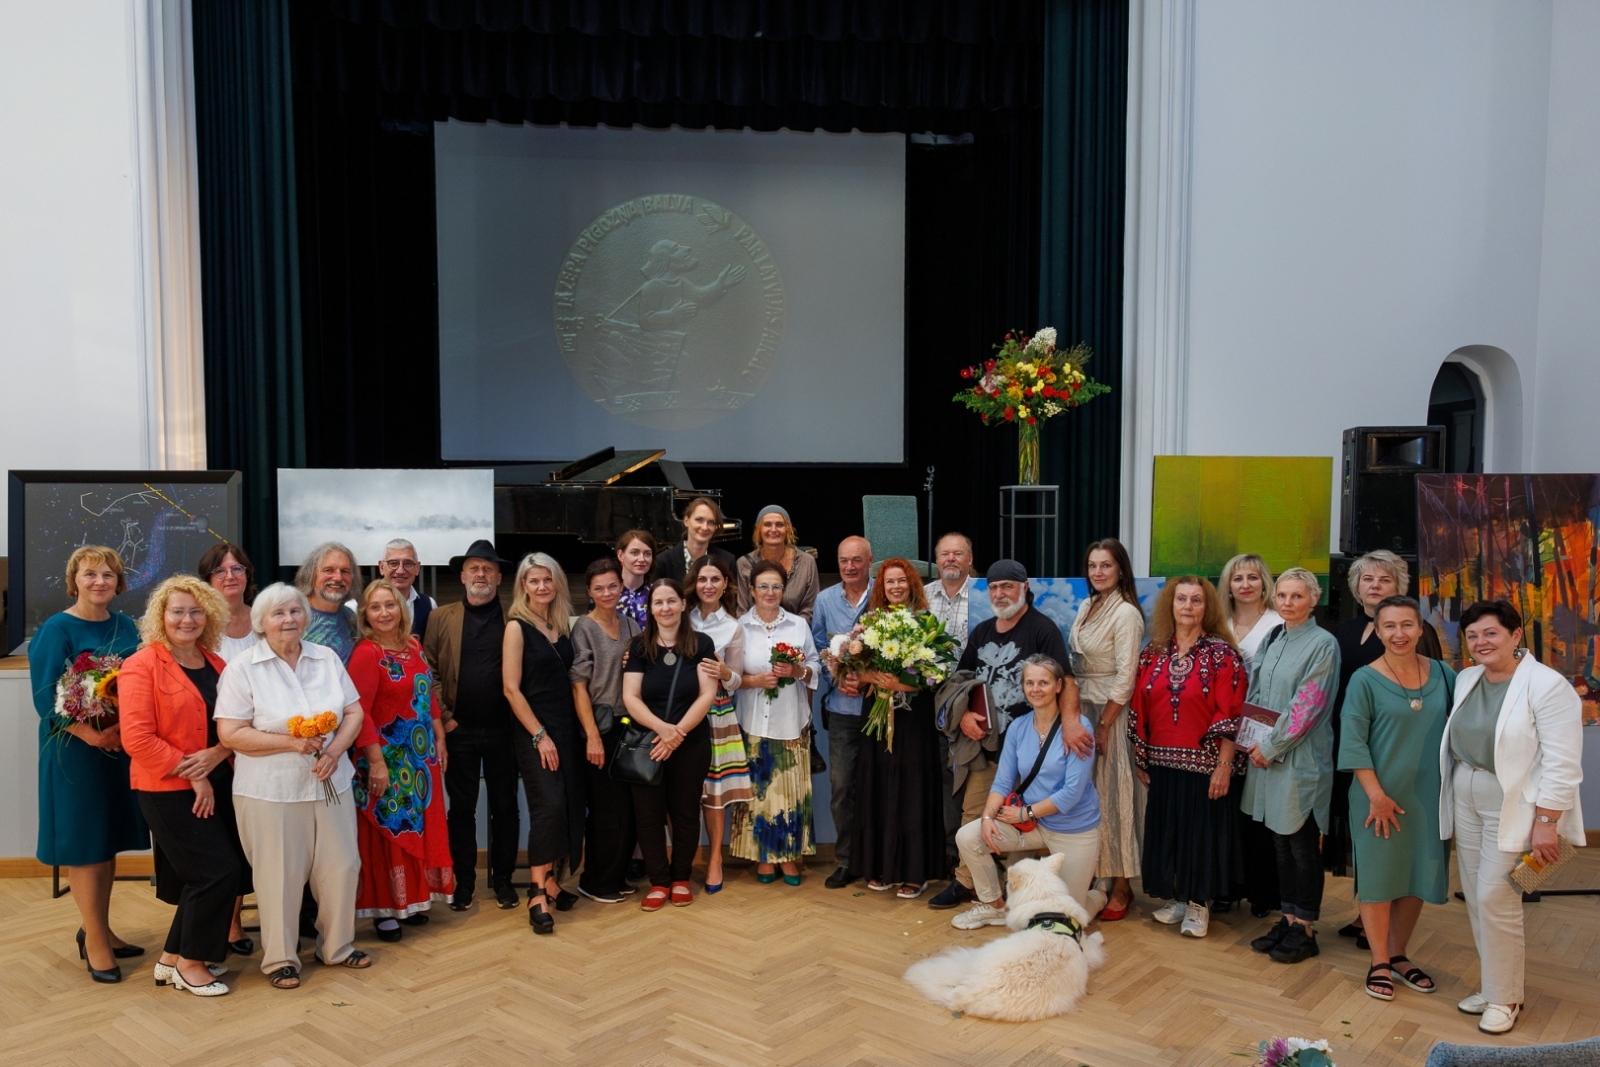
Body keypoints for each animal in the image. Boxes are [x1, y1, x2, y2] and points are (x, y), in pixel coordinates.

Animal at [908, 851, 1107, 1023]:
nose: (1003, 890)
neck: (1045, 899)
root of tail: (962, 996)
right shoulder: (1088, 953)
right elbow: (1095, 944)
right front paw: (1099, 936)